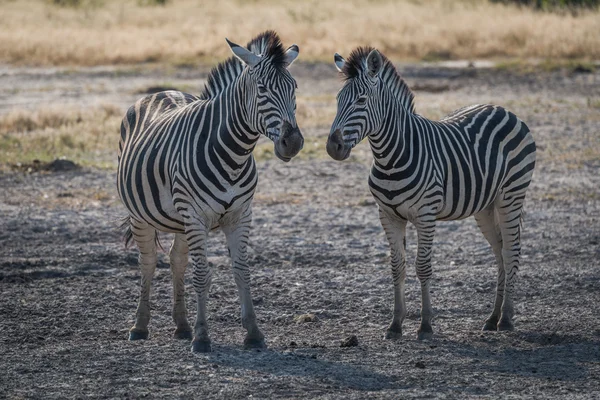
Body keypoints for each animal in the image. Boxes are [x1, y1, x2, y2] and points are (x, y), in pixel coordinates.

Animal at [116, 30, 302, 354]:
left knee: (177, 260)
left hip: (179, 220)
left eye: (294, 89)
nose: (293, 143)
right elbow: (202, 274)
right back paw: (140, 326)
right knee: (148, 262)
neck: (234, 153)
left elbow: (242, 271)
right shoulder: (196, 215)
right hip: (143, 215)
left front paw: (253, 333)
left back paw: (181, 326)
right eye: (263, 89)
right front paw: (202, 337)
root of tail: (161, 92)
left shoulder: (241, 215)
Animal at [326, 47, 536, 340]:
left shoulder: (425, 216)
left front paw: (425, 325)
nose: (332, 147)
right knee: (499, 252)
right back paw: (492, 318)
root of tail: (502, 109)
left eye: (361, 100)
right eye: (337, 100)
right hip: (485, 206)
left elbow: (422, 267)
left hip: (512, 196)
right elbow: (397, 267)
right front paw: (395, 324)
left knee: (511, 251)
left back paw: (505, 319)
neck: (390, 158)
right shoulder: (387, 216)